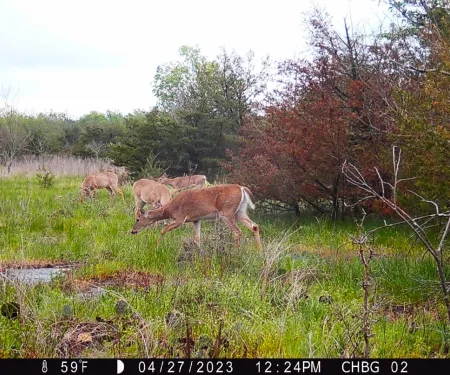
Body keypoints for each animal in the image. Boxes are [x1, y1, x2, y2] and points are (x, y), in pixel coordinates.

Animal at [130, 184, 262, 250]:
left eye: (137, 219)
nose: (132, 231)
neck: (170, 209)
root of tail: (242, 188)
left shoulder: (180, 217)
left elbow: (163, 229)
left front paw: (156, 247)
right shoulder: (196, 219)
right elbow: (197, 238)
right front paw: (199, 253)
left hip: (226, 212)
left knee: (237, 232)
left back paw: (236, 251)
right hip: (239, 212)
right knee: (254, 226)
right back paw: (259, 251)